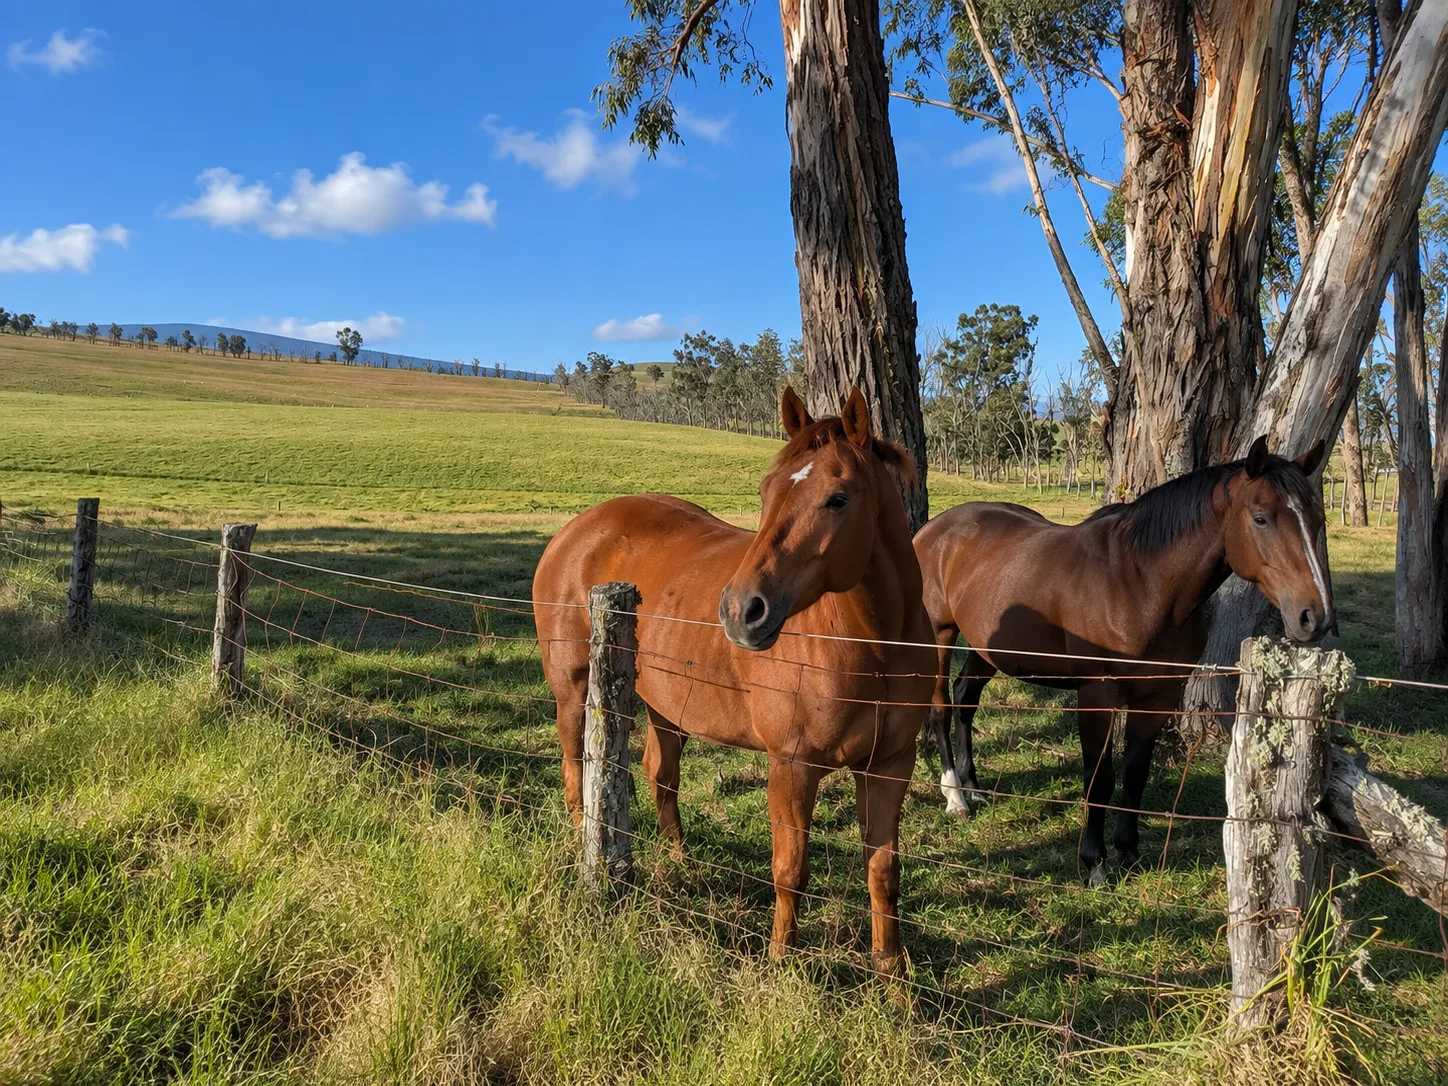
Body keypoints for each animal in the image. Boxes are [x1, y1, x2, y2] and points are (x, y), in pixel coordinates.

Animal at [534, 387, 934, 971]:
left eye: (838, 498)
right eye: (766, 491)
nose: (741, 610)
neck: (876, 648)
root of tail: (575, 529)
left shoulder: (889, 766)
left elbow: (883, 873)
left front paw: (893, 976)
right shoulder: (792, 767)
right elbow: (791, 870)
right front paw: (780, 963)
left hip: (666, 705)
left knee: (661, 776)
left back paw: (680, 862)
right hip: (575, 690)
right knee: (575, 769)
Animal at [913, 436, 1335, 884]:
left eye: (1317, 518)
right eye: (1261, 518)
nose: (1315, 616)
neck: (1139, 584)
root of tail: (931, 532)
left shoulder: (1158, 696)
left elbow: (1134, 774)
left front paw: (1128, 852)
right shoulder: (1097, 695)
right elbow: (1099, 778)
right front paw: (1094, 861)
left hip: (987, 646)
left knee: (965, 699)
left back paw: (973, 785)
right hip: (939, 636)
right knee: (940, 707)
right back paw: (955, 797)